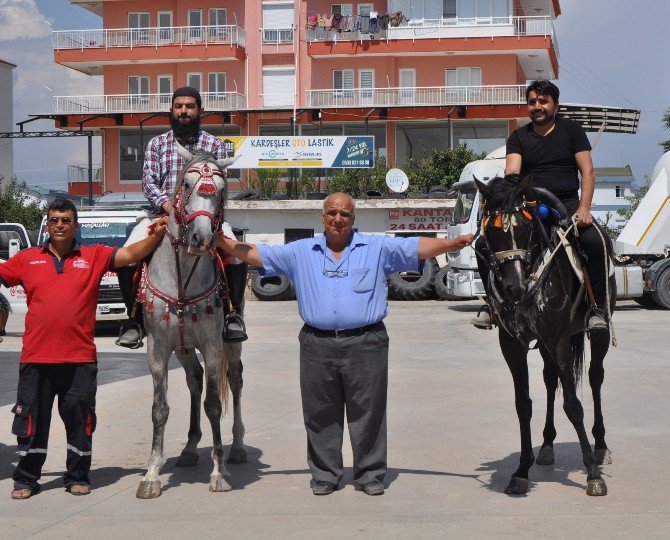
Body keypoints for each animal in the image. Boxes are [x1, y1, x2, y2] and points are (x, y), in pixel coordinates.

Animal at [135, 142, 248, 498]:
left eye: (222, 191)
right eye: (185, 185)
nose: (201, 238)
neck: (182, 276)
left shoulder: (213, 345)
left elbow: (214, 404)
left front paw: (219, 471)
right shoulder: (157, 347)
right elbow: (159, 408)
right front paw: (151, 475)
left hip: (230, 346)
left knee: (235, 380)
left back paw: (237, 447)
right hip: (183, 347)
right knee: (194, 379)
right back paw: (188, 448)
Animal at [476, 174, 616, 498]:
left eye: (525, 229)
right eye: (491, 232)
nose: (514, 287)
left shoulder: (560, 340)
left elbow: (573, 405)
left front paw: (592, 474)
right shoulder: (512, 344)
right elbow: (523, 404)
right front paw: (521, 471)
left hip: (596, 332)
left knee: (595, 377)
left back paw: (601, 446)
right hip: (543, 345)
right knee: (551, 380)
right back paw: (548, 445)